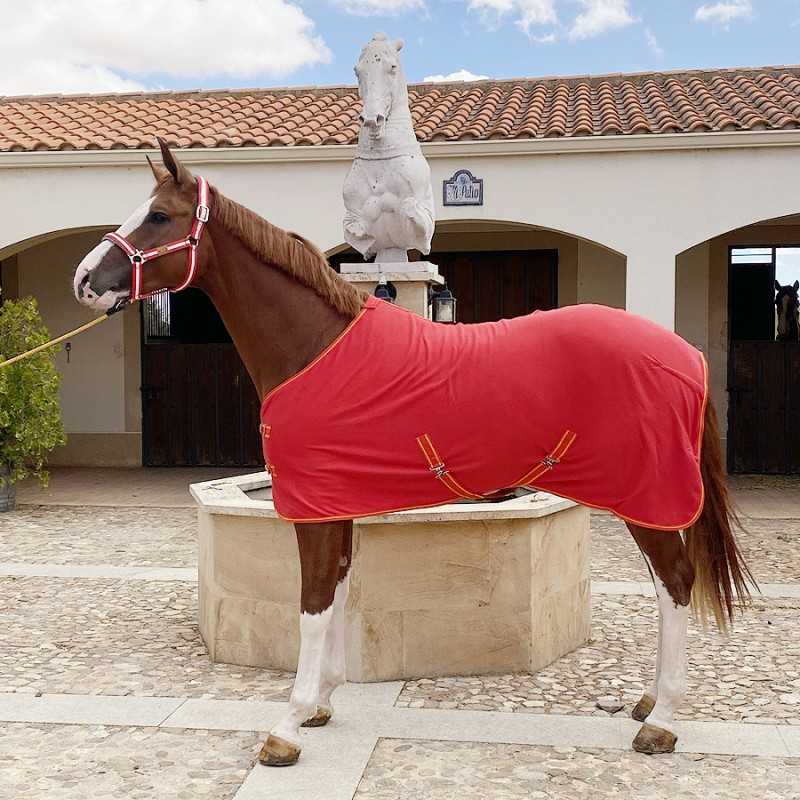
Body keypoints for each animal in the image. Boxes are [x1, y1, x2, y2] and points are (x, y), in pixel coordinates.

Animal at [73, 140, 754, 767]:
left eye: (158, 215)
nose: (84, 281)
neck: (317, 347)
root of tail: (683, 353)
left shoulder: (311, 510)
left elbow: (312, 606)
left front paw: (287, 725)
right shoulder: (334, 505)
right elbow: (338, 591)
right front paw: (322, 702)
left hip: (647, 496)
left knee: (676, 581)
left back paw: (660, 721)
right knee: (667, 585)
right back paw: (649, 702)